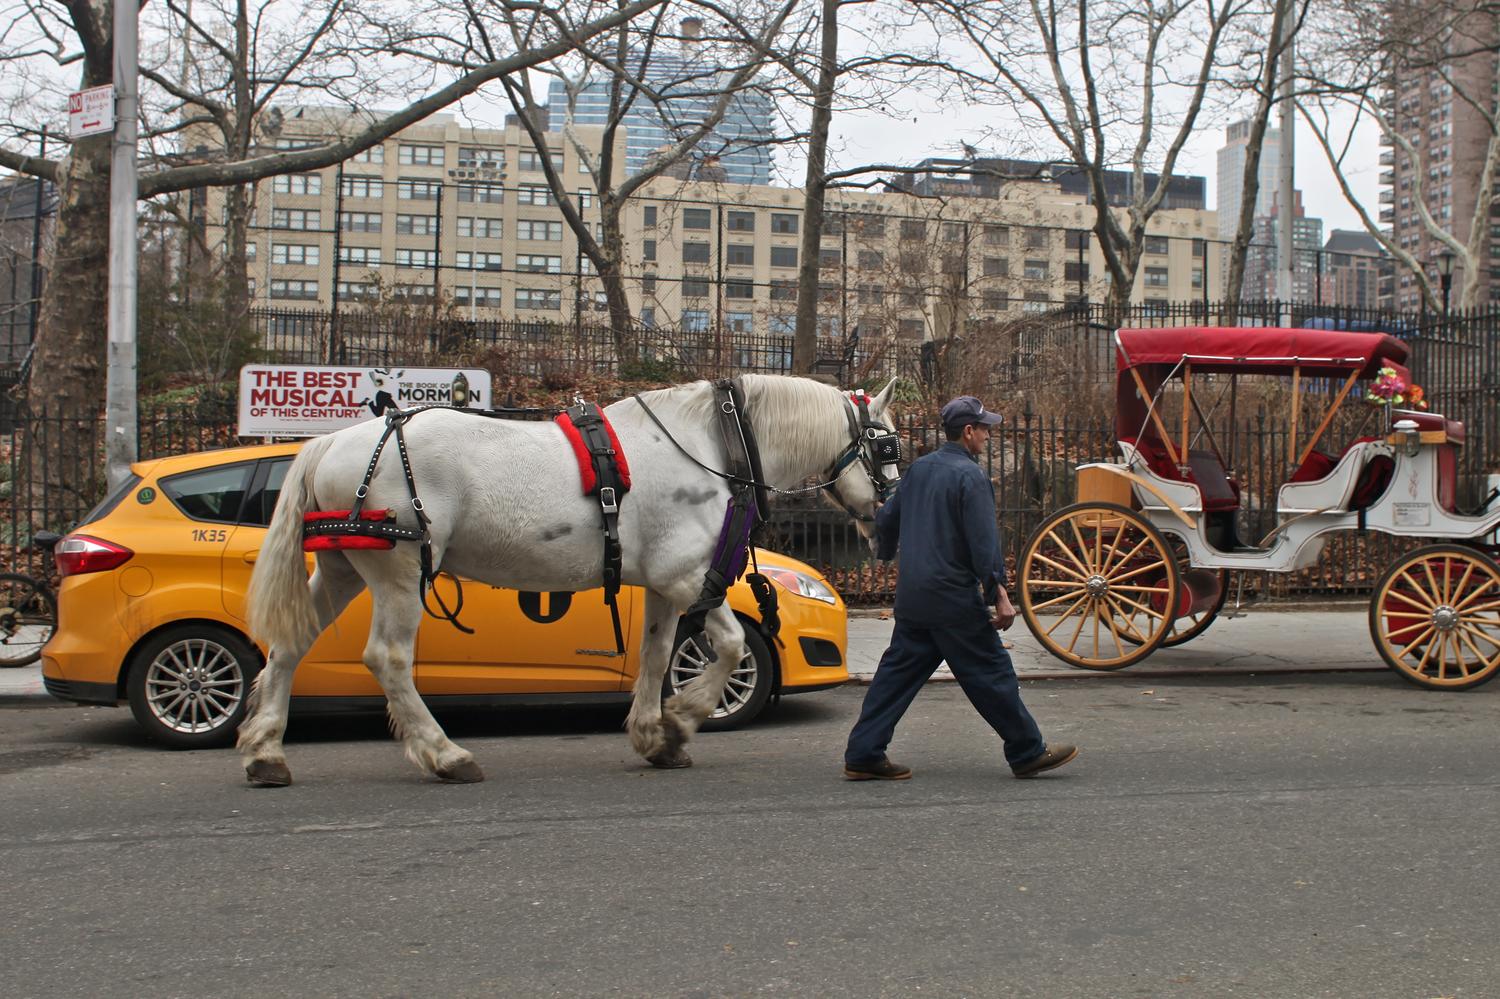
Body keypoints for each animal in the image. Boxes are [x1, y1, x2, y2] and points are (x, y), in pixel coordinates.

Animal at [234, 369, 888, 780]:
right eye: (888, 447)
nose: (890, 511)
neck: (712, 445)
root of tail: (331, 443)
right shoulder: (686, 575)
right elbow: (727, 647)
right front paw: (682, 721)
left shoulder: (660, 583)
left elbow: (656, 656)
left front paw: (654, 735)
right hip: (397, 569)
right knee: (387, 659)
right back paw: (445, 755)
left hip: (342, 566)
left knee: (290, 643)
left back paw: (266, 752)